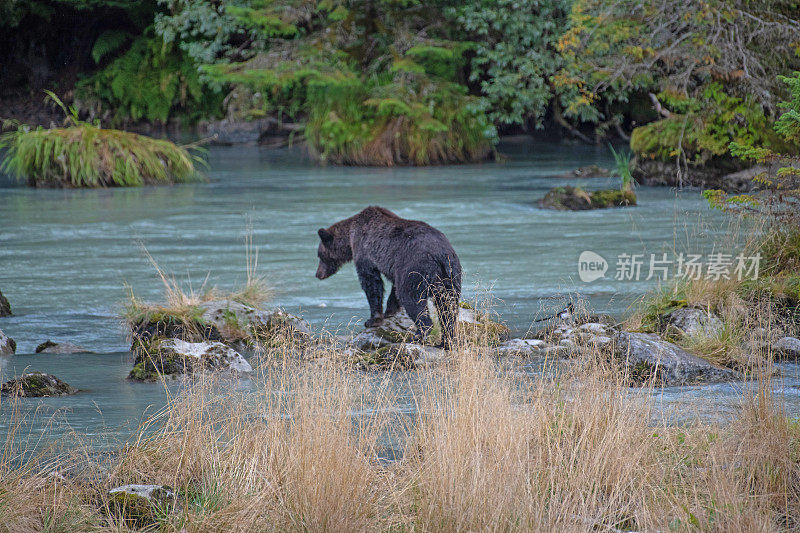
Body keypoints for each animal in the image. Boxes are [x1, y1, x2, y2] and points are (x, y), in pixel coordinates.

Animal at [314, 205, 460, 350]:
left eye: (320, 255)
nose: (318, 274)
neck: (350, 237)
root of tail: (440, 255)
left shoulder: (365, 252)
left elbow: (371, 283)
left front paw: (372, 320)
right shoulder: (397, 267)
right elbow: (394, 288)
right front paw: (389, 311)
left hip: (417, 269)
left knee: (412, 299)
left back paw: (416, 336)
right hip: (450, 276)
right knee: (448, 309)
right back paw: (445, 342)